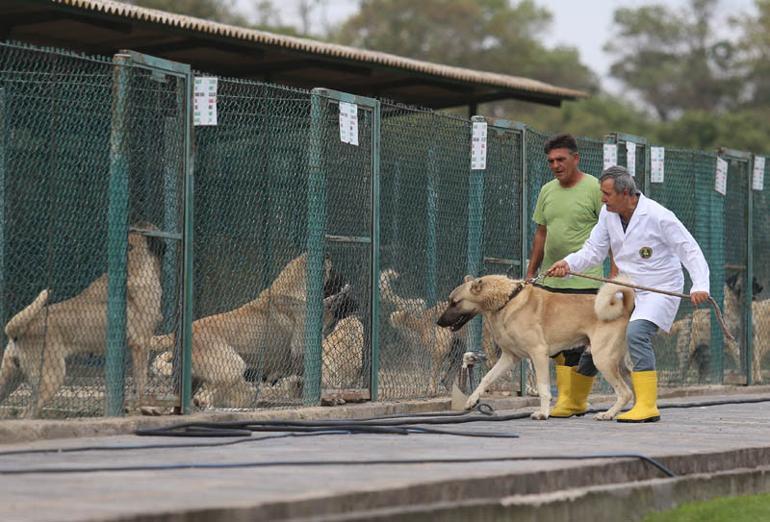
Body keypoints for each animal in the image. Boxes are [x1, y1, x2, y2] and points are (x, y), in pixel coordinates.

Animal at [0, 225, 164, 416]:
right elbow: (141, 381)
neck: (136, 263)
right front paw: (143, 407)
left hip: (9, 379)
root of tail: (18, 331)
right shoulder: (141, 344)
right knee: (26, 414)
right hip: (51, 378)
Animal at [436, 276, 632, 418]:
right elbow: (486, 378)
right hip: (621, 365)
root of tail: (624, 310)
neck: (507, 299)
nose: (438, 322)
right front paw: (471, 400)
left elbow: (543, 388)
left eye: (455, 302)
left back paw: (608, 414)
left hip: (602, 359)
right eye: (450, 301)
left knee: (625, 393)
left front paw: (543, 413)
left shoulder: (538, 354)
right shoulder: (509, 358)